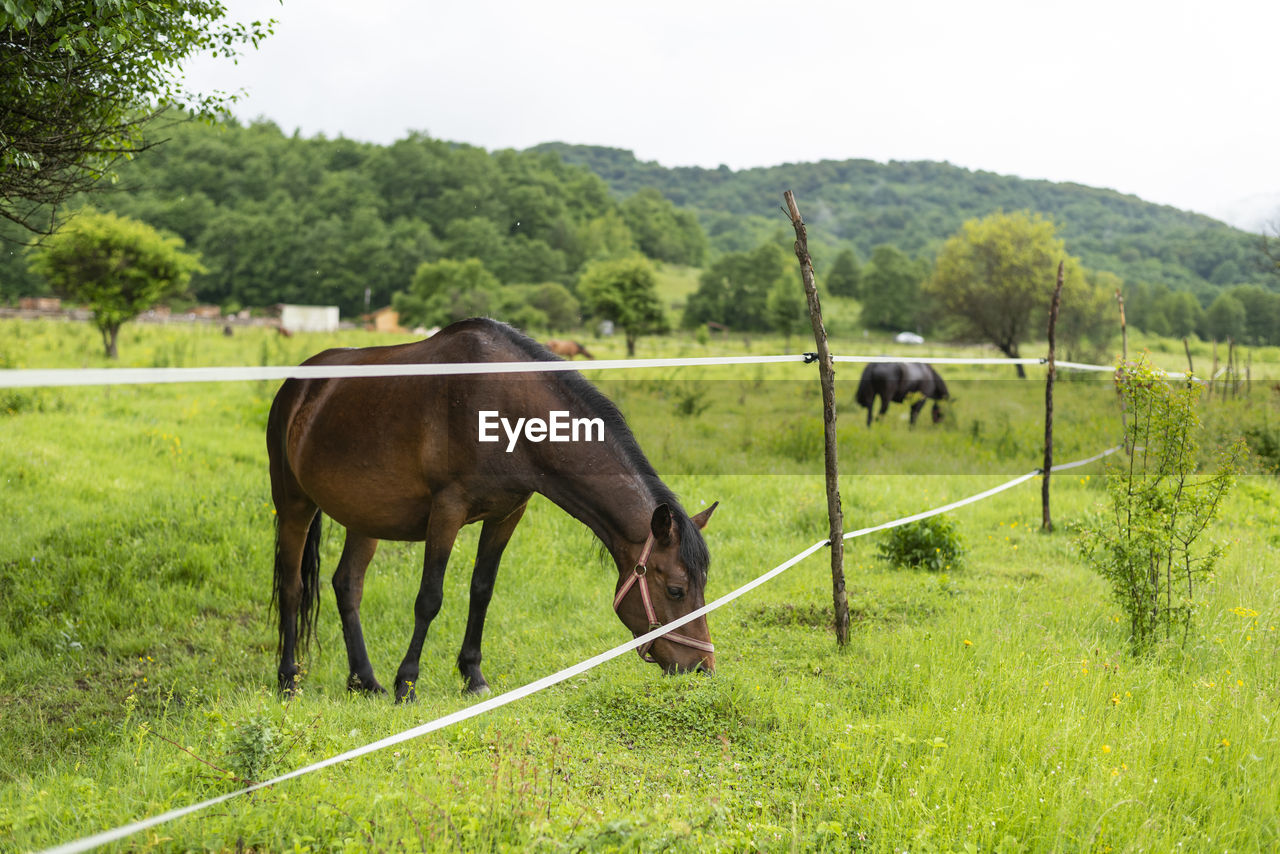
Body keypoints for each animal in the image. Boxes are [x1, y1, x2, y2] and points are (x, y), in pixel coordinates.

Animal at [267, 317, 721, 696]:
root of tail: (297, 386)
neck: (503, 407)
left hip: (365, 518)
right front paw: (407, 683)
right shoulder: (447, 511)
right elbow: (429, 597)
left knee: (347, 586)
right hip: (293, 504)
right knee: (292, 586)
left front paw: (473, 677)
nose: (702, 668)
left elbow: (482, 590)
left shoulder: (507, 514)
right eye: (676, 589)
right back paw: (289, 680)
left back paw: (364, 681)